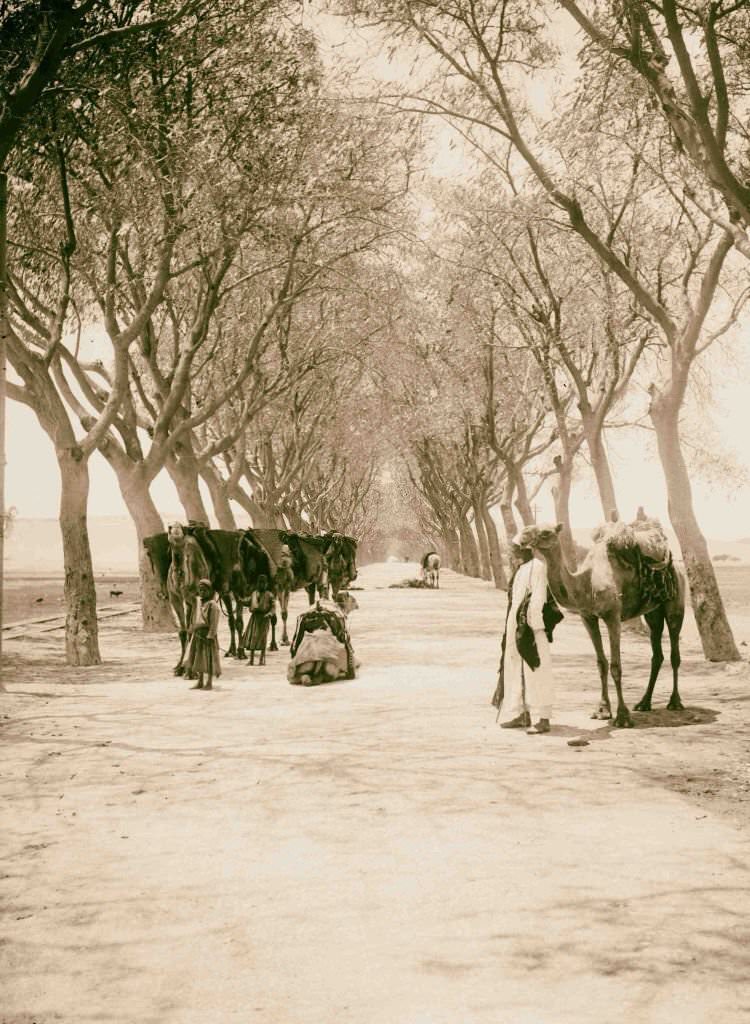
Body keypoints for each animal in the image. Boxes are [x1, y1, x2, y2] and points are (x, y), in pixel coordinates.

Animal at [516, 520, 684, 729]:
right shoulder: (587, 617)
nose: (522, 537)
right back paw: (644, 703)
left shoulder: (613, 616)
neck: (587, 583)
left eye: (546, 532)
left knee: (675, 652)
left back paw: (675, 702)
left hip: (676, 603)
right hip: (653, 612)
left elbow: (616, 666)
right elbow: (601, 664)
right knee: (657, 652)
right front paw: (602, 710)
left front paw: (623, 717)